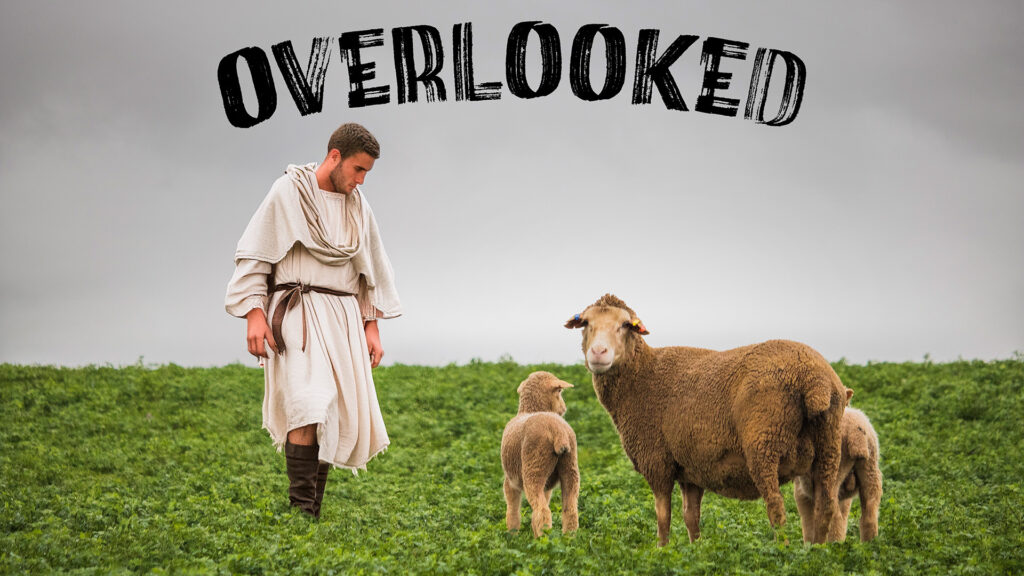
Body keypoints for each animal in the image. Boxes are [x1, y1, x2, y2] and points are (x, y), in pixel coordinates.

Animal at [499, 368, 581, 537]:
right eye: (559, 391)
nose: (564, 408)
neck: (530, 409)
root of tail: (557, 430)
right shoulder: (547, 485)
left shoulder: (510, 480)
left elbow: (512, 507)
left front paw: (512, 532)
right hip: (570, 466)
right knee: (570, 508)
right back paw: (570, 538)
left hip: (534, 468)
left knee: (542, 510)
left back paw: (543, 538)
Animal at [561, 293, 847, 545]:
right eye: (585, 323)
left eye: (624, 325)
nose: (598, 352)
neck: (642, 375)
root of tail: (812, 377)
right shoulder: (691, 469)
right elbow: (691, 518)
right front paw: (695, 551)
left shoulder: (657, 461)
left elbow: (663, 517)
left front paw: (661, 551)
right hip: (828, 446)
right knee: (826, 507)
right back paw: (818, 552)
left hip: (764, 443)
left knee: (777, 509)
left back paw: (783, 551)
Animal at [790, 391, 880, 541]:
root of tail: (856, 433)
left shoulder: (801, 491)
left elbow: (807, 519)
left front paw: (808, 543)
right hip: (870, 467)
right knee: (870, 511)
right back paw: (869, 543)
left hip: (832, 471)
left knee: (831, 513)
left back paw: (829, 544)